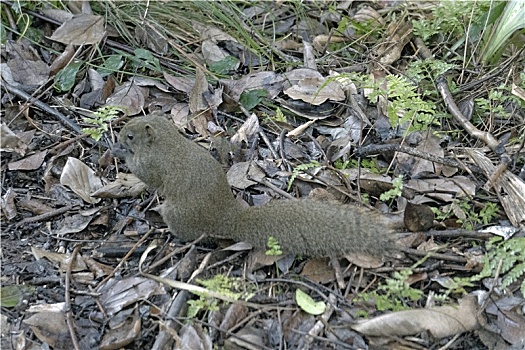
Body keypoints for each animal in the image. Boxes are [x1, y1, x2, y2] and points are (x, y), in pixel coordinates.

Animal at [113, 115, 392, 258]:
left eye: (131, 136)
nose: (119, 137)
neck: (166, 142)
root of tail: (227, 219)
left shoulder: (154, 165)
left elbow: (147, 176)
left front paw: (120, 153)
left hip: (178, 214)